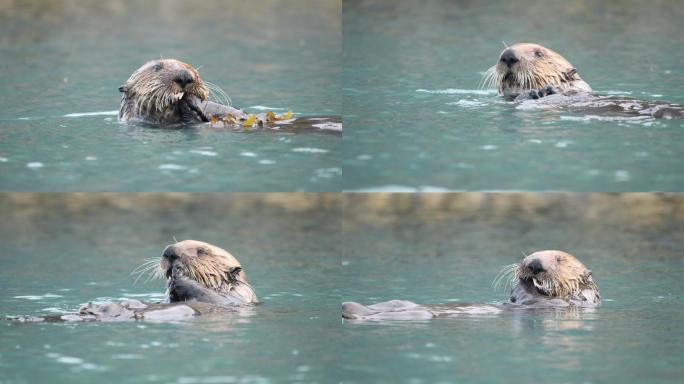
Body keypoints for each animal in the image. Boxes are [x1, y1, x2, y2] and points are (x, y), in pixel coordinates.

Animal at [340, 249, 600, 320]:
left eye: (559, 259)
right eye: (532, 254)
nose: (533, 264)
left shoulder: (561, 303)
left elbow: (529, 295)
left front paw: (522, 281)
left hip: (417, 315)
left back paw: (350, 309)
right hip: (397, 303)